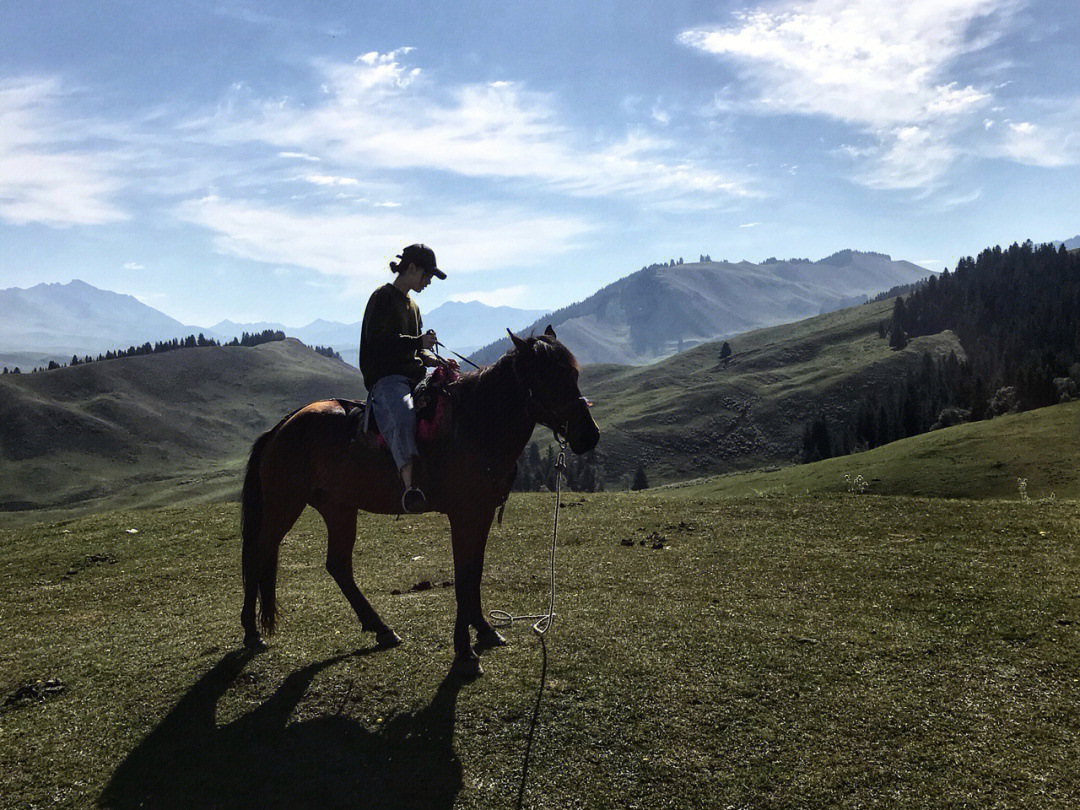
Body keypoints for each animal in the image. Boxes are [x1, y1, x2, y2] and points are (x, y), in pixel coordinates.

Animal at [238, 326, 600, 673]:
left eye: (574, 374)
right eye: (548, 376)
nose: (589, 435)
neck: (476, 424)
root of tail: (283, 425)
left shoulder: (481, 514)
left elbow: (475, 571)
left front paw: (483, 629)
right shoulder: (464, 515)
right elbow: (463, 574)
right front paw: (464, 651)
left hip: (338, 508)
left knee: (338, 565)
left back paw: (381, 629)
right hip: (285, 504)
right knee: (259, 554)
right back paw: (252, 633)